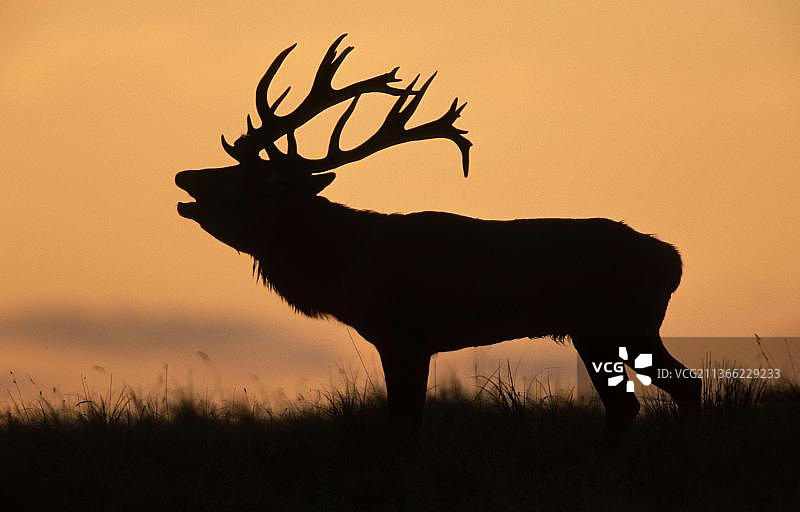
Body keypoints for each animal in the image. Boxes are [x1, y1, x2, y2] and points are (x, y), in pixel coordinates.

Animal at [175, 35, 701, 442]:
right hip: (600, 331)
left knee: (672, 389)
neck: (346, 265)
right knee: (648, 398)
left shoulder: (404, 333)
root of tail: (672, 260)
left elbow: (403, 422)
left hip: (619, 322)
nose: (184, 176)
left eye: (244, 182)